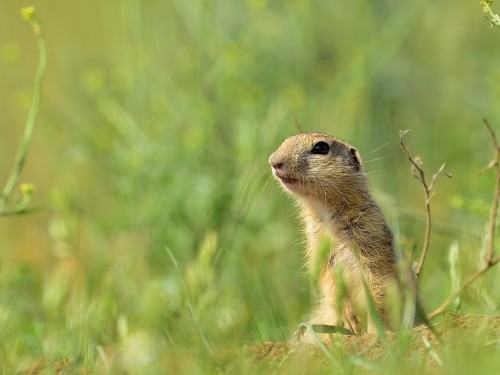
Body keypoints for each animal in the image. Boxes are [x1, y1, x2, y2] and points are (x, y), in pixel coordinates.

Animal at [270, 133, 418, 338]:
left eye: (321, 147)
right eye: (285, 141)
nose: (273, 161)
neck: (326, 211)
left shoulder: (372, 241)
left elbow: (377, 287)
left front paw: (374, 332)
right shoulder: (319, 248)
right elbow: (328, 282)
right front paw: (349, 319)